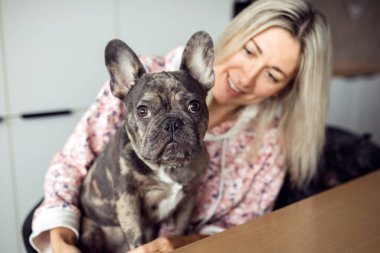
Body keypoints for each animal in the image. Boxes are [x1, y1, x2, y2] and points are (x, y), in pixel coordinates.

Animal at [78, 31, 215, 253]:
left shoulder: (190, 195)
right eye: (143, 111)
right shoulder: (128, 198)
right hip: (92, 233)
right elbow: (136, 235)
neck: (167, 167)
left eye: (194, 106)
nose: (171, 123)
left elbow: (180, 227)